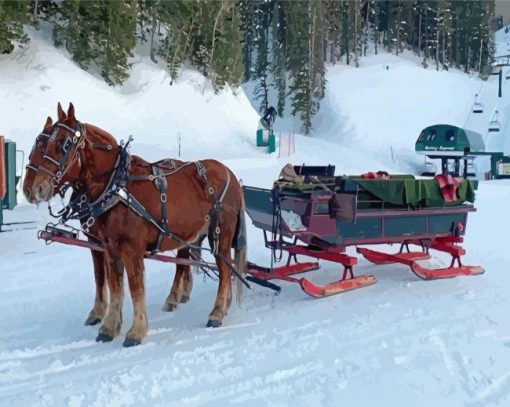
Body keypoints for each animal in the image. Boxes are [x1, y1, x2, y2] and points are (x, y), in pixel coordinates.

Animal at [23, 103, 247, 348]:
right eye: (38, 144)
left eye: (63, 144)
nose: (31, 189)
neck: (115, 187)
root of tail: (230, 174)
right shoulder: (108, 247)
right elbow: (112, 285)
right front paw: (108, 327)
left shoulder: (132, 249)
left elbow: (135, 287)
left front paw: (135, 332)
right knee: (199, 263)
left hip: (221, 234)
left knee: (224, 269)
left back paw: (216, 312)